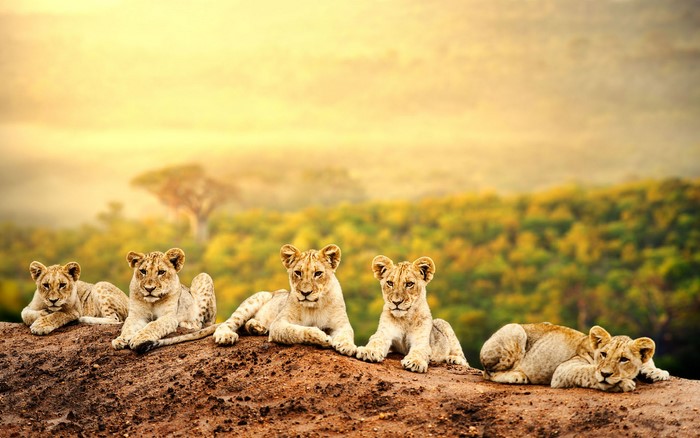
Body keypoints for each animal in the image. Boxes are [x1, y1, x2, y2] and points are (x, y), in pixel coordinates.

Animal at [213, 243, 356, 356]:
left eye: (318, 273)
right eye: (298, 273)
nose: (305, 293)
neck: (315, 307)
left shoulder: (341, 323)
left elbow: (347, 333)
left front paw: (348, 346)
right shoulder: (279, 324)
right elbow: (298, 330)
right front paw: (322, 337)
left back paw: (257, 328)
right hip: (254, 300)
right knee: (228, 323)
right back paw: (225, 336)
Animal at [480, 322, 671, 392]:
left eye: (624, 359)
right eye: (603, 354)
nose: (606, 374)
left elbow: (648, 361)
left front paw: (657, 372)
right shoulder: (562, 371)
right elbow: (589, 372)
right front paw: (621, 383)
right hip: (516, 330)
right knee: (488, 373)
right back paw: (517, 376)